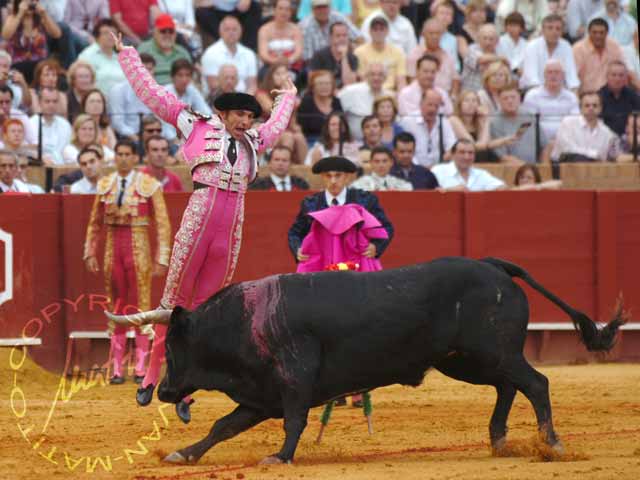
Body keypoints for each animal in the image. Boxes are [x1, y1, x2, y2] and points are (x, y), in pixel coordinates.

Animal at [124, 258, 624, 464]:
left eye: (173, 347)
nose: (161, 391)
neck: (242, 320)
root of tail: (494, 266)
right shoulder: (260, 395)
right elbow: (223, 427)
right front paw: (183, 454)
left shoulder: (294, 381)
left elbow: (293, 422)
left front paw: (280, 458)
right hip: (468, 361)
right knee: (508, 386)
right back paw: (500, 440)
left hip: (492, 353)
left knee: (535, 383)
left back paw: (551, 444)